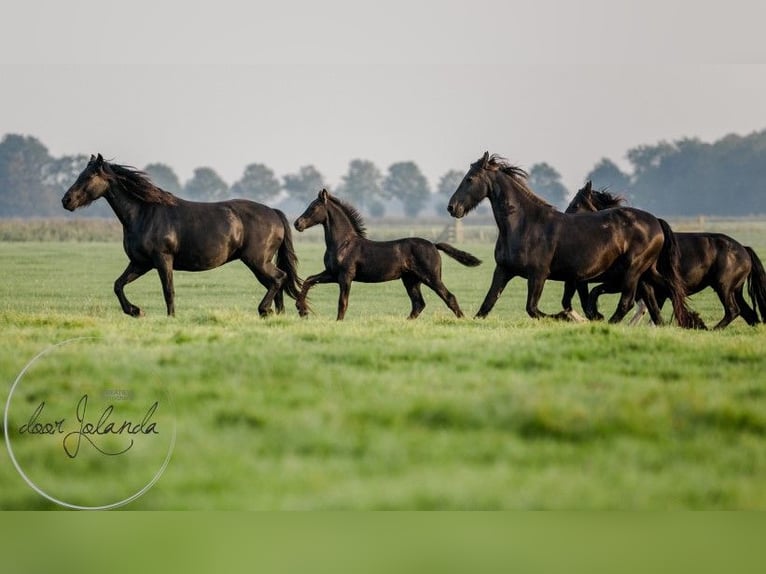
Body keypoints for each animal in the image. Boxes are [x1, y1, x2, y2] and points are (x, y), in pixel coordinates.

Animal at [61, 154, 302, 317]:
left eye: (89, 176)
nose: (66, 201)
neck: (143, 213)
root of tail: (274, 213)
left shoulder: (162, 259)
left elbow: (168, 291)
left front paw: (170, 317)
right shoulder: (140, 263)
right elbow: (118, 285)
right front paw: (135, 311)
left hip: (256, 261)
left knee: (278, 278)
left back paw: (264, 310)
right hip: (259, 262)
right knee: (277, 282)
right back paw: (275, 314)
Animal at [293, 188, 481, 320]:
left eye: (313, 207)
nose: (297, 224)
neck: (343, 243)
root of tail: (433, 245)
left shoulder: (345, 276)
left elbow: (342, 302)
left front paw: (338, 322)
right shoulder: (332, 274)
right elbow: (309, 280)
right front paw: (302, 309)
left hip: (431, 278)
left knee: (448, 297)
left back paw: (463, 320)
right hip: (411, 280)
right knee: (418, 304)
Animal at [446, 152, 701, 328]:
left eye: (470, 179)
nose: (452, 207)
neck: (524, 224)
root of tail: (656, 222)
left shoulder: (538, 275)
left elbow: (533, 309)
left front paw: (569, 318)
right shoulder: (503, 270)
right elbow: (486, 305)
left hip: (633, 270)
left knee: (628, 301)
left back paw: (607, 323)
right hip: (646, 272)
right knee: (660, 297)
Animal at [566, 182, 766, 329]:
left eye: (576, 204)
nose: (566, 219)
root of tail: (744, 249)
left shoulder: (624, 281)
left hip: (723, 287)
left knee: (733, 310)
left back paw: (712, 329)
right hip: (735, 290)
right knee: (749, 314)